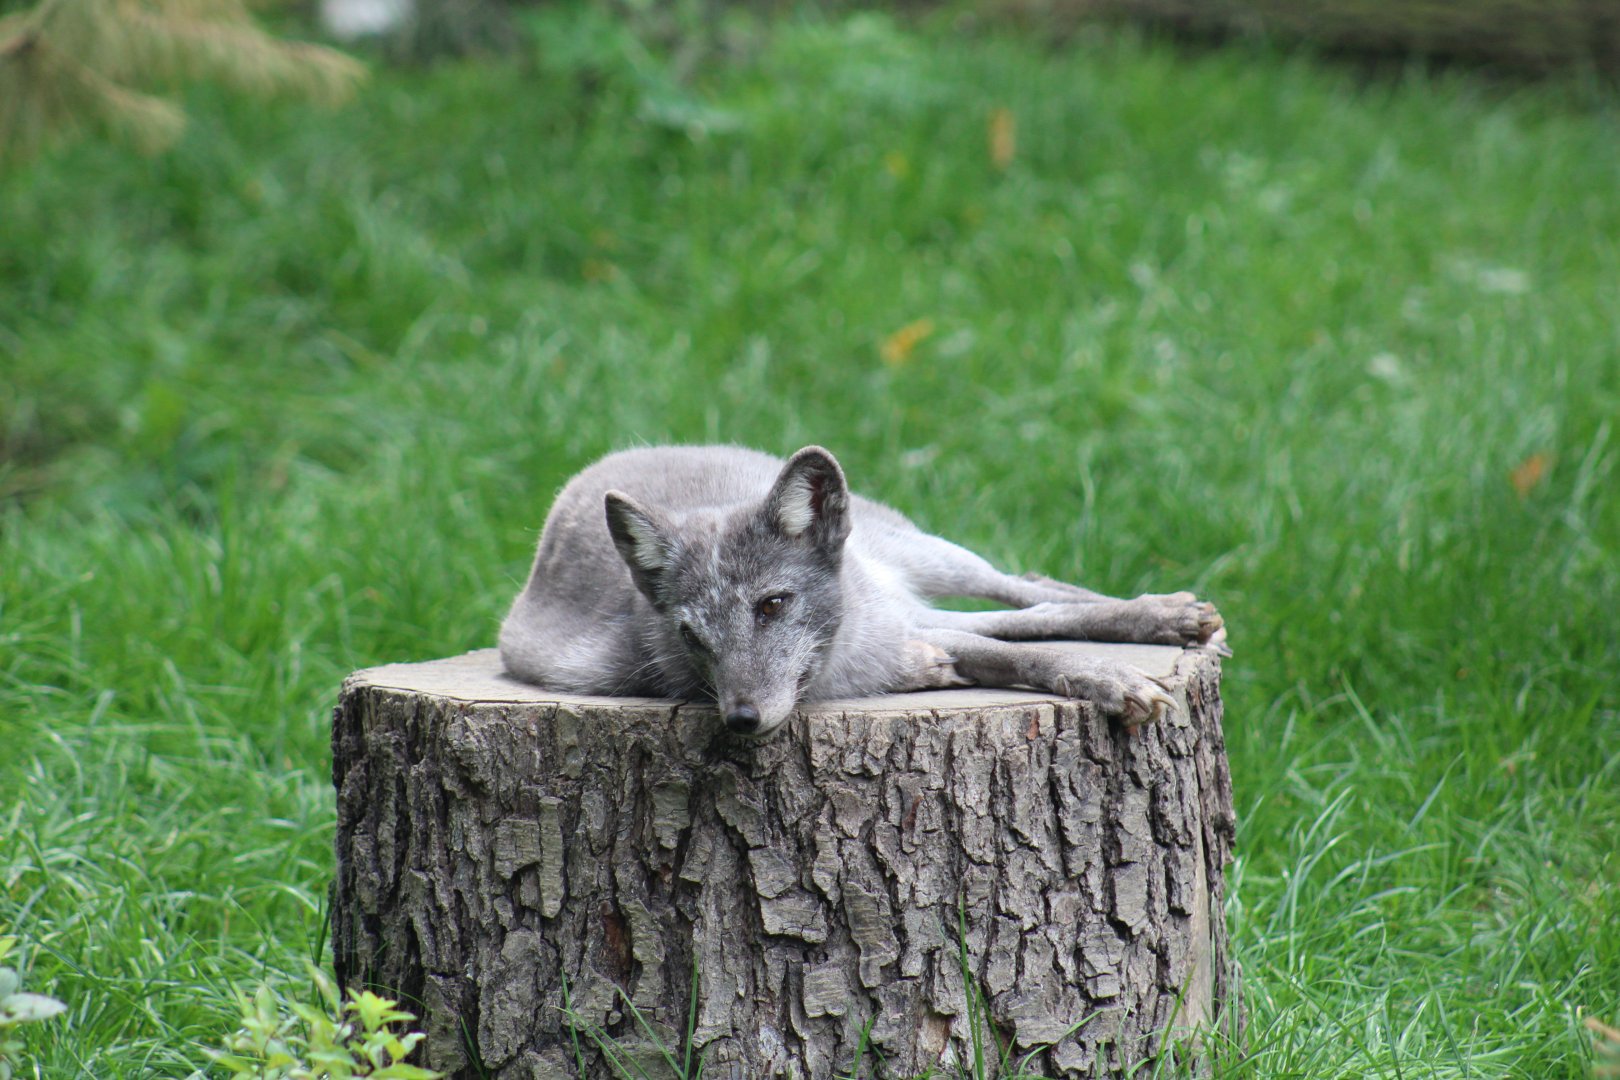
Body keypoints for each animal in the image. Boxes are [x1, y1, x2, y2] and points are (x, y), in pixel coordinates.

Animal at [499, 445, 1224, 738]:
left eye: (772, 605)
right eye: (690, 637)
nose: (740, 721)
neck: (846, 655)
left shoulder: (903, 628)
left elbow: (1032, 651)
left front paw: (1114, 677)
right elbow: (1012, 647)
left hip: (932, 559)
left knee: (1026, 588)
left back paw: (1165, 615)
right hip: (920, 595)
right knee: (1028, 605)